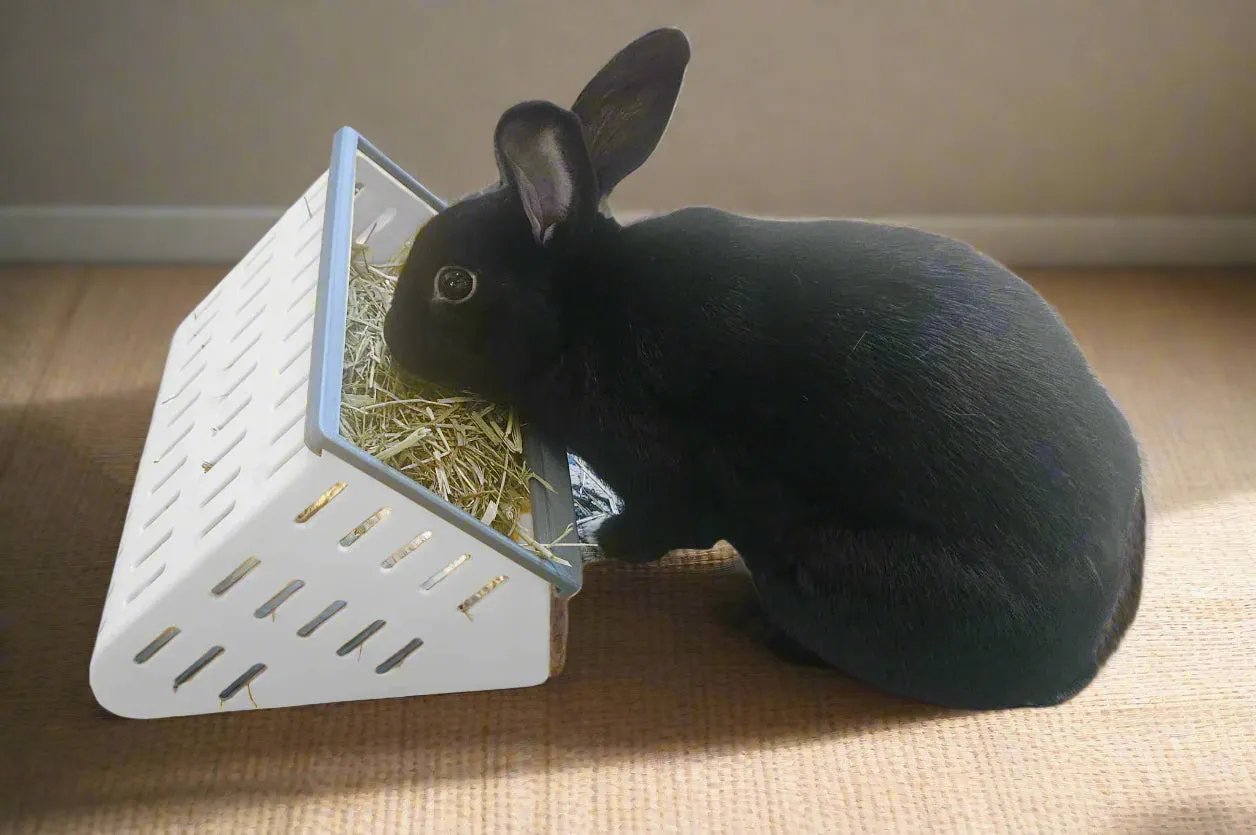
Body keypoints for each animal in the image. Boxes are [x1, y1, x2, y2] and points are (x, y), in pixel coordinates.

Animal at [383, 28, 1146, 710]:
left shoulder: (671, 474)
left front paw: (605, 537)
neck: (585, 312)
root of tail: (1083, 657)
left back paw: (759, 626)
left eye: (454, 283)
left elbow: (660, 524)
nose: (392, 341)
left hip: (817, 568)